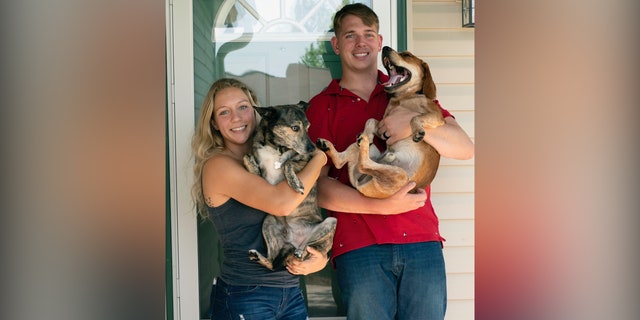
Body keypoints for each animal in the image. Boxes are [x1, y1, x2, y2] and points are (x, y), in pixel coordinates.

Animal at [242, 102, 338, 270]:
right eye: (294, 128)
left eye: (308, 127)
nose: (313, 148)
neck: (277, 146)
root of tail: (293, 242)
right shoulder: (262, 177)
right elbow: (246, 157)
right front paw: (251, 163)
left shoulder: (305, 160)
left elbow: (288, 162)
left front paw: (296, 183)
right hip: (268, 222)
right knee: (272, 263)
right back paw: (258, 257)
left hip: (329, 224)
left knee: (309, 249)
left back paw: (301, 252)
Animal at [316, 46, 444, 199]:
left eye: (407, 55)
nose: (386, 48)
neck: (403, 96)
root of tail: (359, 185)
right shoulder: (383, 127)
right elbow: (370, 120)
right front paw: (369, 134)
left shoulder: (437, 117)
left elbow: (414, 117)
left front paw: (417, 131)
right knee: (349, 162)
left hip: (398, 175)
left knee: (361, 164)